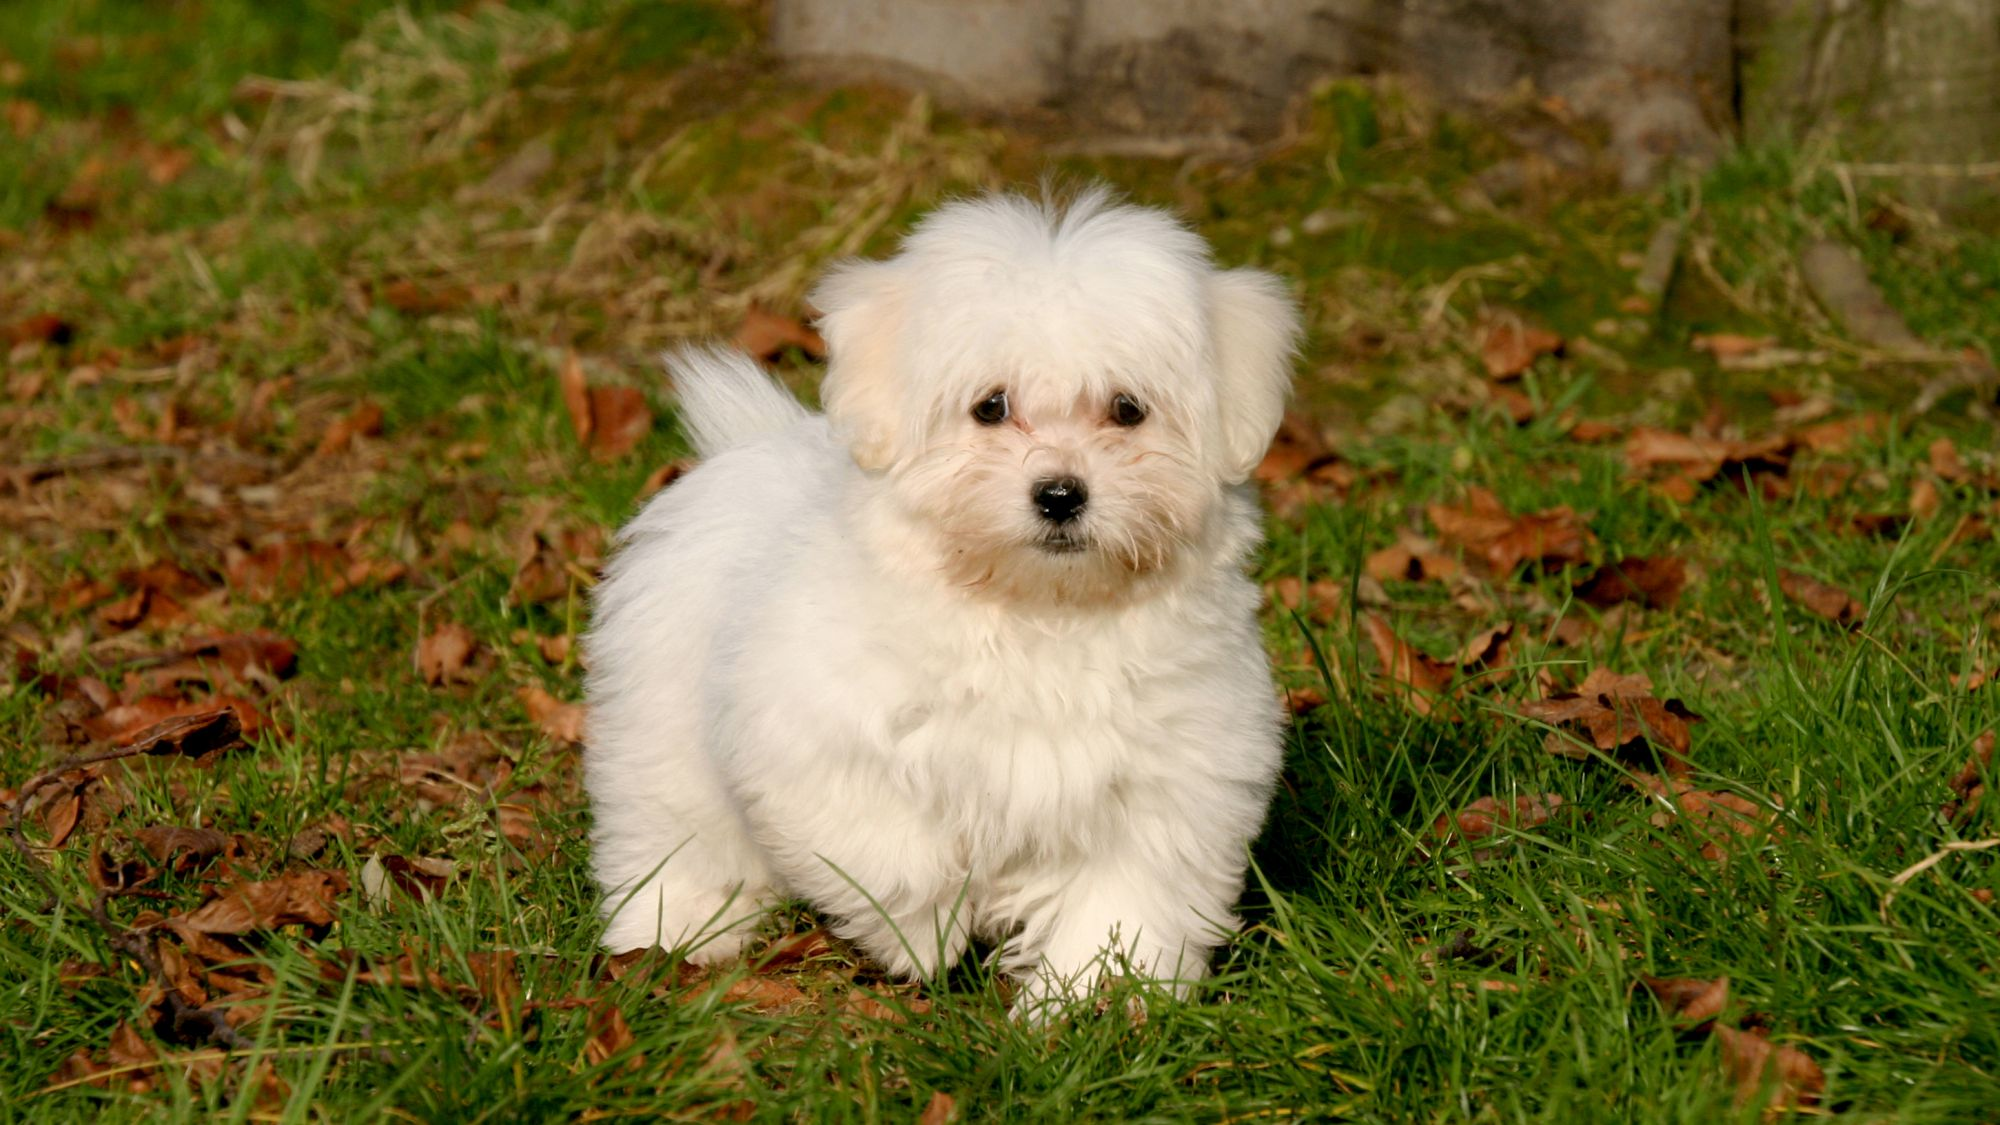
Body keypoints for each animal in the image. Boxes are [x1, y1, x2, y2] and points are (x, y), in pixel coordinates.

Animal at [584, 186, 1296, 1008]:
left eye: (1127, 408)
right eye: (990, 406)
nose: (1060, 494)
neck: (1038, 611)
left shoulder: (1171, 780)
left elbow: (1123, 899)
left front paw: (1091, 1000)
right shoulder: (812, 737)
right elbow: (885, 848)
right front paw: (925, 936)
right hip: (660, 723)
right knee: (676, 831)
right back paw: (674, 930)